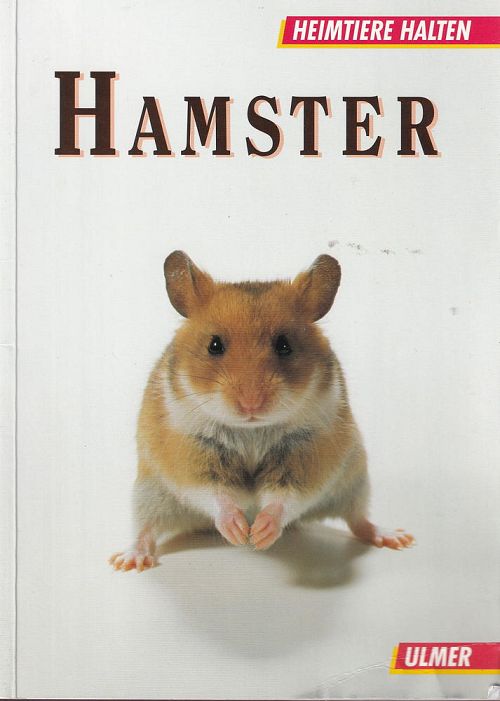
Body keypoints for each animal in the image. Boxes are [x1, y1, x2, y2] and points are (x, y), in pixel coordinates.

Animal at [110, 251, 414, 572]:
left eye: (284, 345)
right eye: (214, 345)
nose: (251, 404)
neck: (251, 429)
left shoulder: (310, 451)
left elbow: (285, 497)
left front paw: (260, 535)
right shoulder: (189, 451)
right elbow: (214, 492)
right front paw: (238, 532)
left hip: (354, 481)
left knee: (358, 520)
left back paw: (397, 538)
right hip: (149, 494)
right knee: (146, 529)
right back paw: (127, 561)